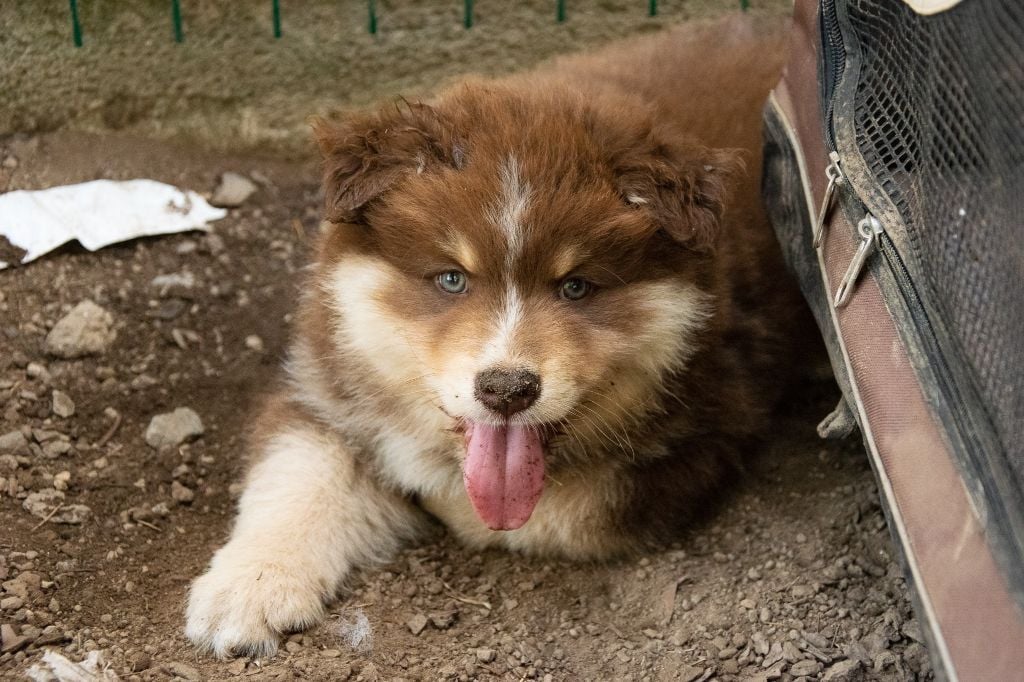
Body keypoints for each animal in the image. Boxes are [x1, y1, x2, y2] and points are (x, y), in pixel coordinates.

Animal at [186, 13, 801, 657]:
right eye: (452, 279)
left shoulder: (701, 436)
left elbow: (534, 512)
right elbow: (295, 470)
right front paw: (248, 587)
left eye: (576, 287)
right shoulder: (321, 383)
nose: (507, 390)